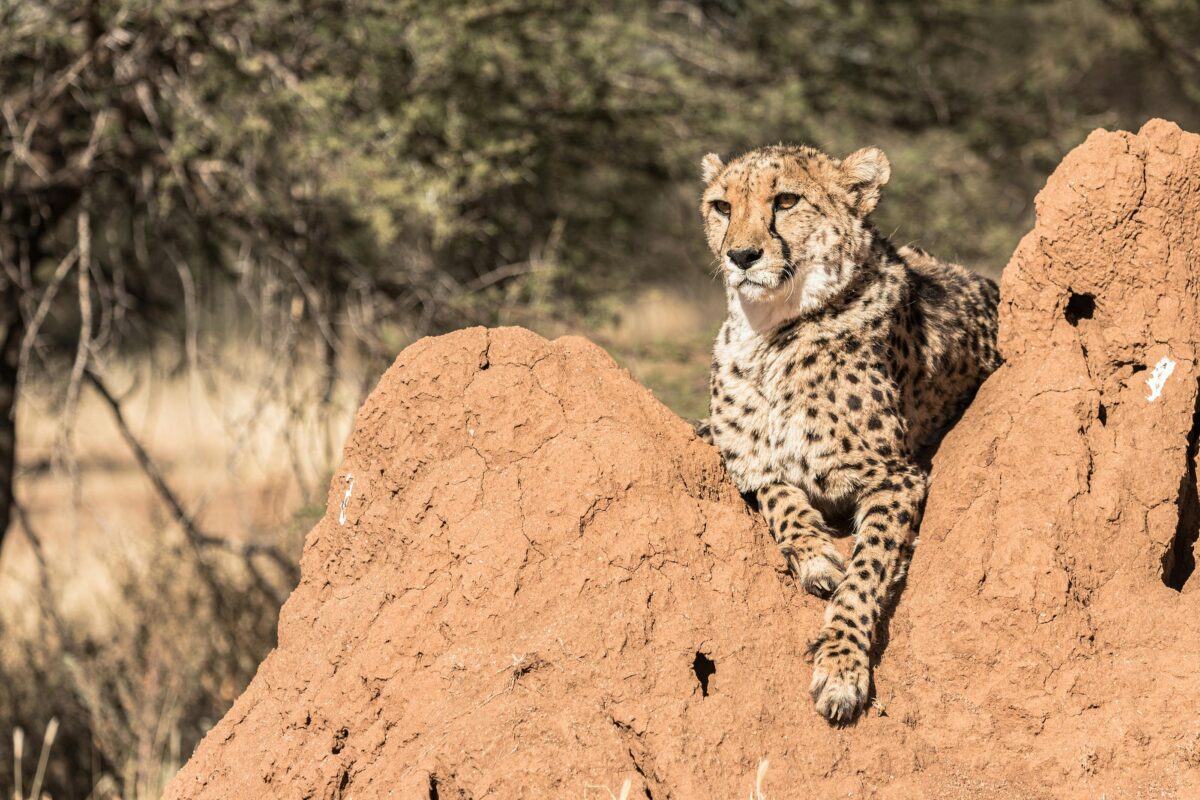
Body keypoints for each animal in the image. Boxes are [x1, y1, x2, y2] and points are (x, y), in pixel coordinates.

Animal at [700, 143, 998, 724]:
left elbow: (866, 572)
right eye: (722, 206)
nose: (741, 256)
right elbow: (777, 494)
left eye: (786, 201)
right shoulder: (751, 461)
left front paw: (841, 668)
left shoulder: (898, 476)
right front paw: (815, 554)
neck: (766, 331)